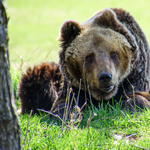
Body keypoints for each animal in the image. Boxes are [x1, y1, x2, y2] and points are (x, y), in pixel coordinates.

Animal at [18, 7, 150, 116]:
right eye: (89, 56)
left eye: (113, 53)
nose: (105, 77)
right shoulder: (74, 86)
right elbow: (64, 104)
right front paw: (68, 115)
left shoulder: (136, 75)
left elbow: (137, 96)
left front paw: (129, 107)